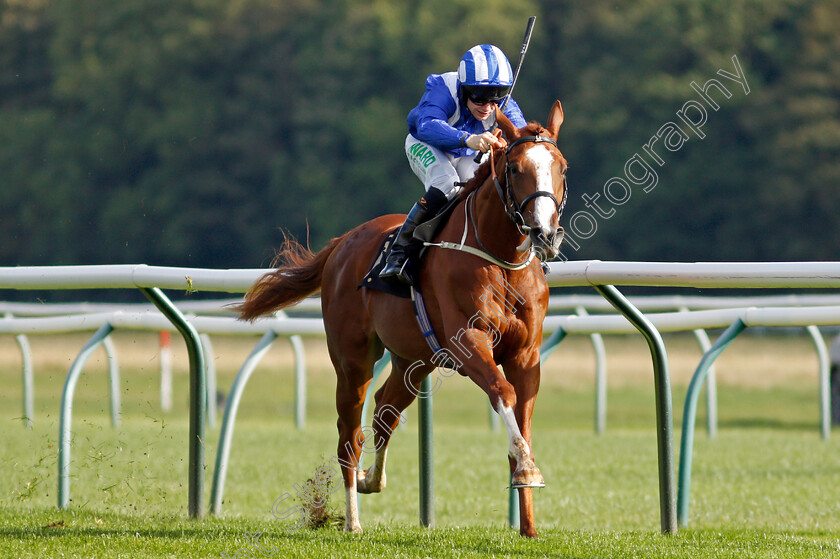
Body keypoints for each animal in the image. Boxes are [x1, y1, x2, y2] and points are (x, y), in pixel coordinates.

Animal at [238, 101, 564, 540]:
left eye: (561, 166)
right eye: (514, 168)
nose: (545, 233)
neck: (501, 258)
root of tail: (342, 243)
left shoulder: (526, 355)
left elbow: (523, 418)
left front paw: (528, 522)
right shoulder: (468, 344)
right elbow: (503, 393)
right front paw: (528, 471)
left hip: (415, 358)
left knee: (384, 411)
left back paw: (370, 479)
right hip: (352, 360)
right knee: (350, 433)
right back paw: (353, 517)